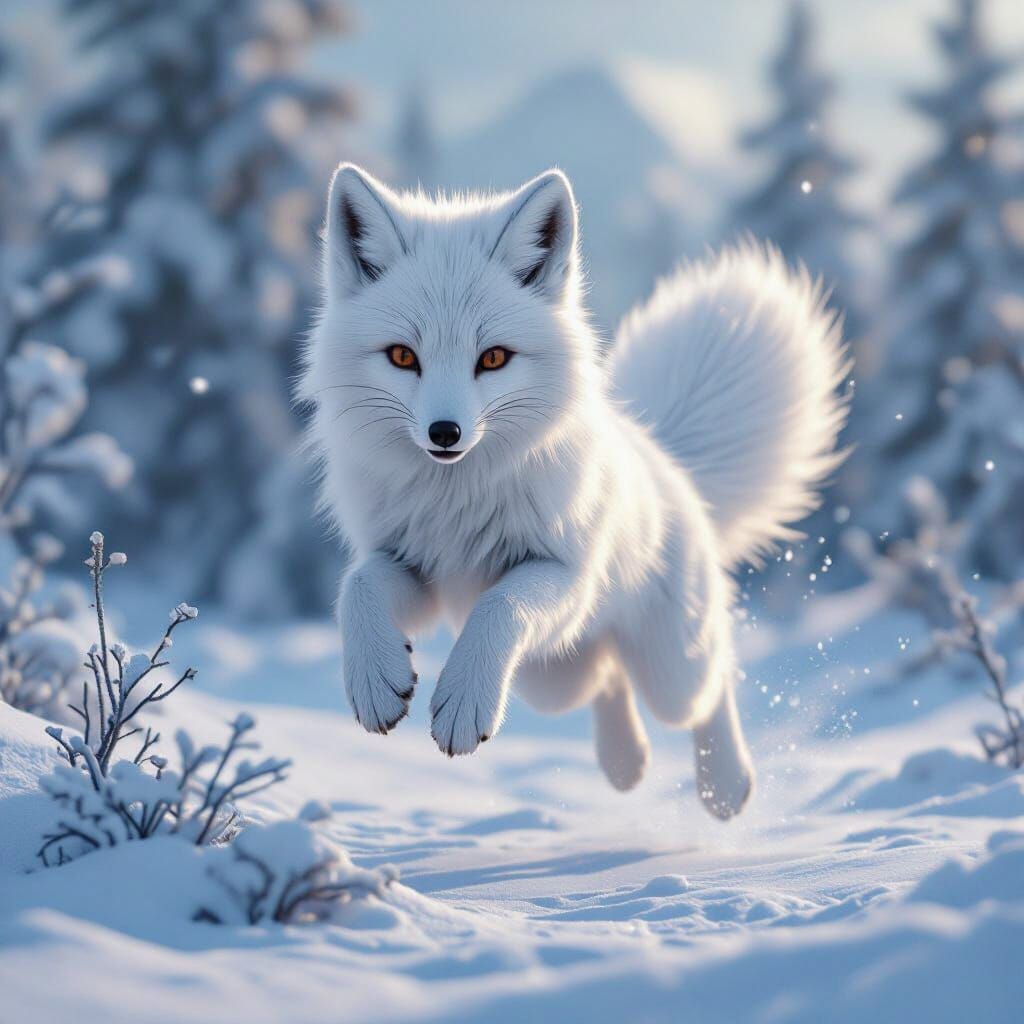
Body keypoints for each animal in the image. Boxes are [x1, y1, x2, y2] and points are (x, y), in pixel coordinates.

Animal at [300, 164, 849, 820]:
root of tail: (665, 456)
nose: (445, 433)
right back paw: (626, 764)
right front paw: (375, 683)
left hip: (666, 669)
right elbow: (355, 588)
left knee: (710, 684)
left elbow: (499, 606)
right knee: (607, 681)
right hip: (550, 679)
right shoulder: (416, 572)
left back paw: (726, 785)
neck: (457, 500)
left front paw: (462, 702)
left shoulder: (563, 574)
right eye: (403, 356)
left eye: (493, 358)